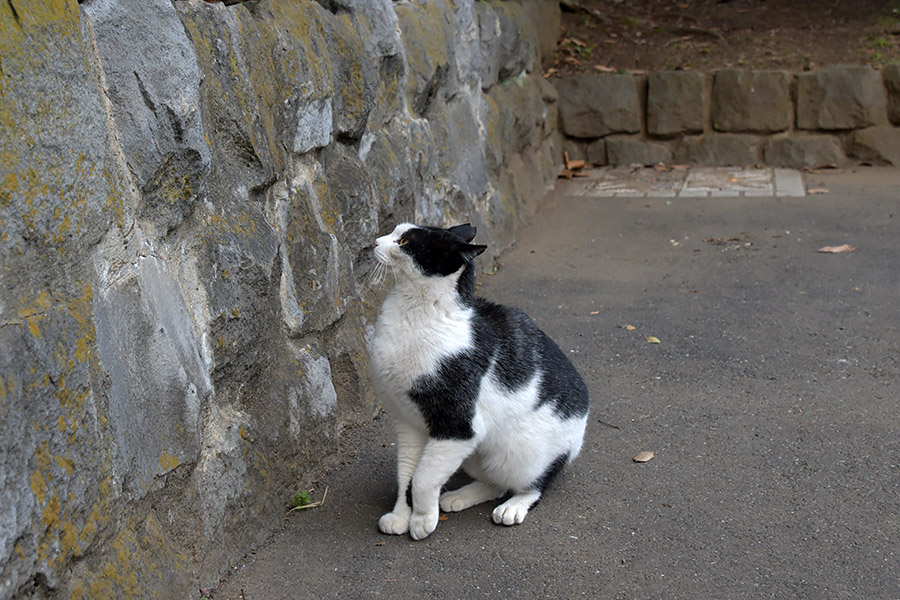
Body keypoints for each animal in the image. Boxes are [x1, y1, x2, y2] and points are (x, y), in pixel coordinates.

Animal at [368, 223, 588, 540]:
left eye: (404, 241)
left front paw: (422, 520)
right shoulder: (408, 424)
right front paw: (401, 515)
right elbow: (406, 472)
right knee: (496, 483)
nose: (374, 241)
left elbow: (423, 477)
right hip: (478, 455)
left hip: (521, 457)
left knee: (532, 485)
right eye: (396, 232)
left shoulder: (458, 427)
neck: (418, 314)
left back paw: (512, 507)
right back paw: (458, 496)